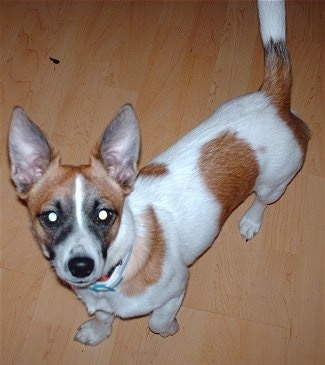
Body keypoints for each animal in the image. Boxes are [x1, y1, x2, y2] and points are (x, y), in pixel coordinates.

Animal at [7, 0, 308, 344]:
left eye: (105, 215)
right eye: (51, 217)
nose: (80, 266)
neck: (121, 262)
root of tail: (273, 97)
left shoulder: (176, 289)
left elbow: (157, 321)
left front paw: (170, 329)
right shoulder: (102, 303)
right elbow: (104, 317)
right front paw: (98, 332)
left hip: (275, 182)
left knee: (261, 201)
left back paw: (250, 222)